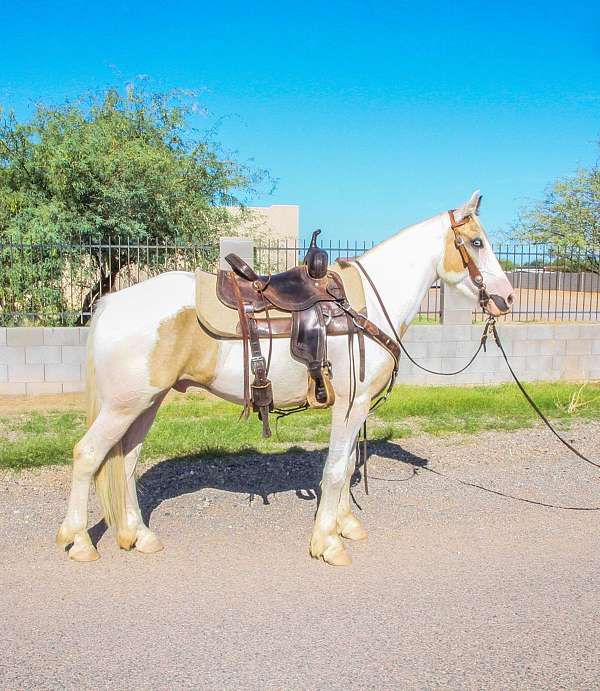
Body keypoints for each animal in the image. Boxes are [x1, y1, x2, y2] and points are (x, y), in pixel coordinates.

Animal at [58, 191, 512, 568]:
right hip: (124, 405)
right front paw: (327, 543)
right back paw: (78, 541)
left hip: (145, 403)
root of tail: (113, 300)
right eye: (476, 243)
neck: (366, 304)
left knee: (126, 462)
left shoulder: (358, 405)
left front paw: (345, 525)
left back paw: (139, 535)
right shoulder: (351, 403)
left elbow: (347, 464)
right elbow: (335, 470)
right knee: (88, 455)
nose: (506, 298)